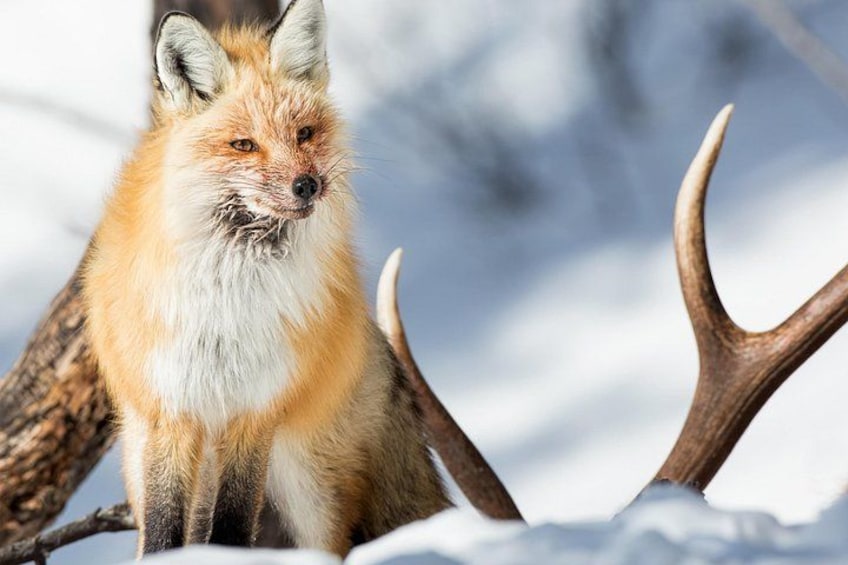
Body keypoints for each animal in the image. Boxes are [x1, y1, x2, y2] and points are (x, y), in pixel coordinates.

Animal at [82, 0, 451, 557]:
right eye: (243, 144)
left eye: (304, 134)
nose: (307, 185)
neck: (229, 301)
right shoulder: (171, 410)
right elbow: (165, 529)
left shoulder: (255, 409)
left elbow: (232, 524)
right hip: (143, 449)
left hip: (308, 488)